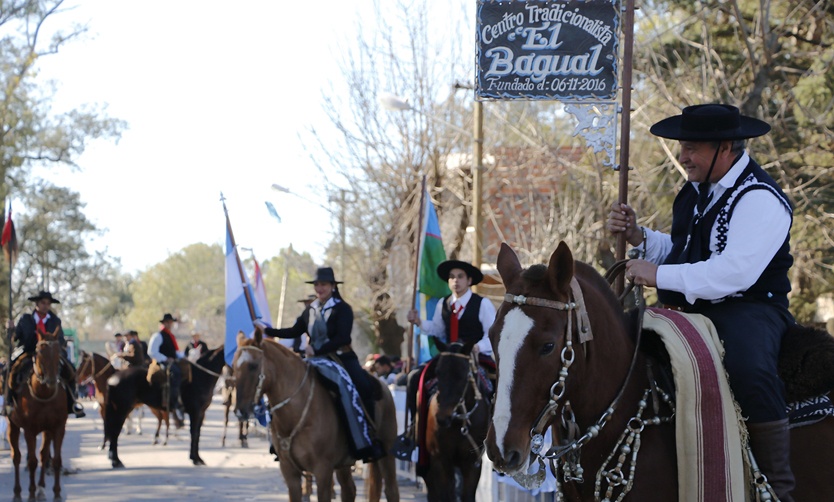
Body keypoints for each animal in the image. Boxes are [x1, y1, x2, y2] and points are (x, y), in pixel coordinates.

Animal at [6, 328, 68, 500]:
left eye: (58, 351)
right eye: (40, 351)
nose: (52, 380)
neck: (44, 394)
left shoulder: (58, 428)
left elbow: (56, 460)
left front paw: (56, 493)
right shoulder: (29, 430)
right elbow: (32, 462)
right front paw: (31, 493)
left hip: (47, 430)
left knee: (43, 455)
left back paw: (41, 488)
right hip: (12, 425)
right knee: (16, 457)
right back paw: (17, 492)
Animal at [231, 332, 400, 500]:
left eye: (253, 366)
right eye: (233, 367)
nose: (240, 411)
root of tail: (384, 386)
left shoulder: (323, 470)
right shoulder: (289, 472)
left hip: (386, 454)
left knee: (391, 490)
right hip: (344, 463)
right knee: (349, 489)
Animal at [422, 338, 488, 502]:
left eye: (462, 374)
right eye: (438, 371)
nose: (443, 417)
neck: (458, 422)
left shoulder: (472, 462)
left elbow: (467, 495)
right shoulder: (440, 460)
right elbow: (445, 495)